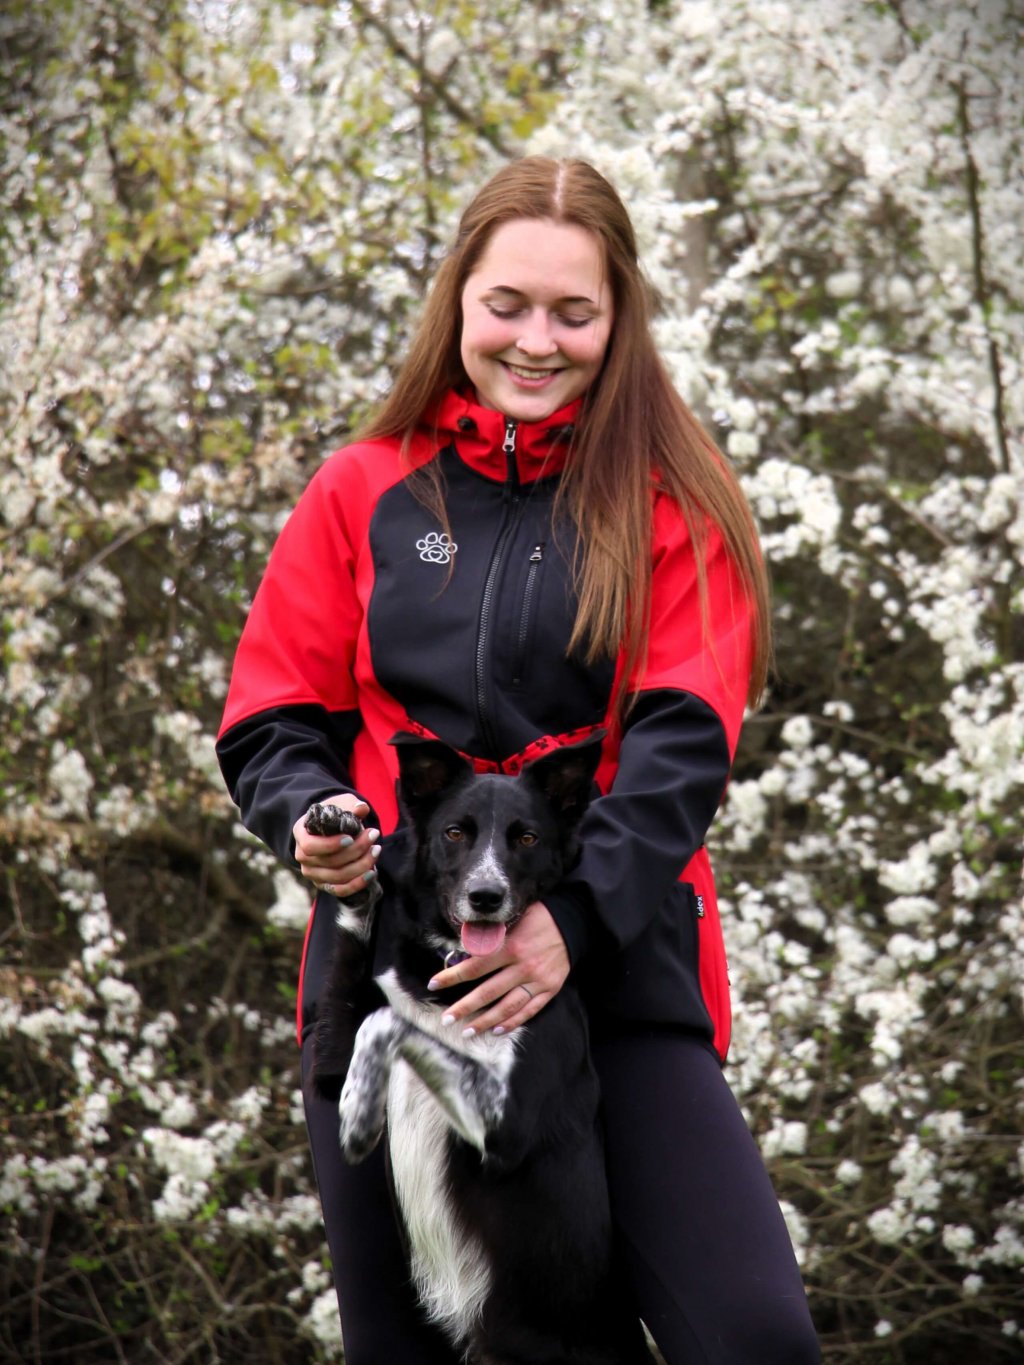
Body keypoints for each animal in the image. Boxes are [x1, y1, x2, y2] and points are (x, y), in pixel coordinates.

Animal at [308, 737, 652, 1365]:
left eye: (527, 838)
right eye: (454, 832)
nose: (485, 897)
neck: (460, 975)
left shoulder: (503, 1129)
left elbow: (389, 1023)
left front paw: (359, 1120)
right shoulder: (331, 1059)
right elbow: (364, 969)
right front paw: (342, 842)